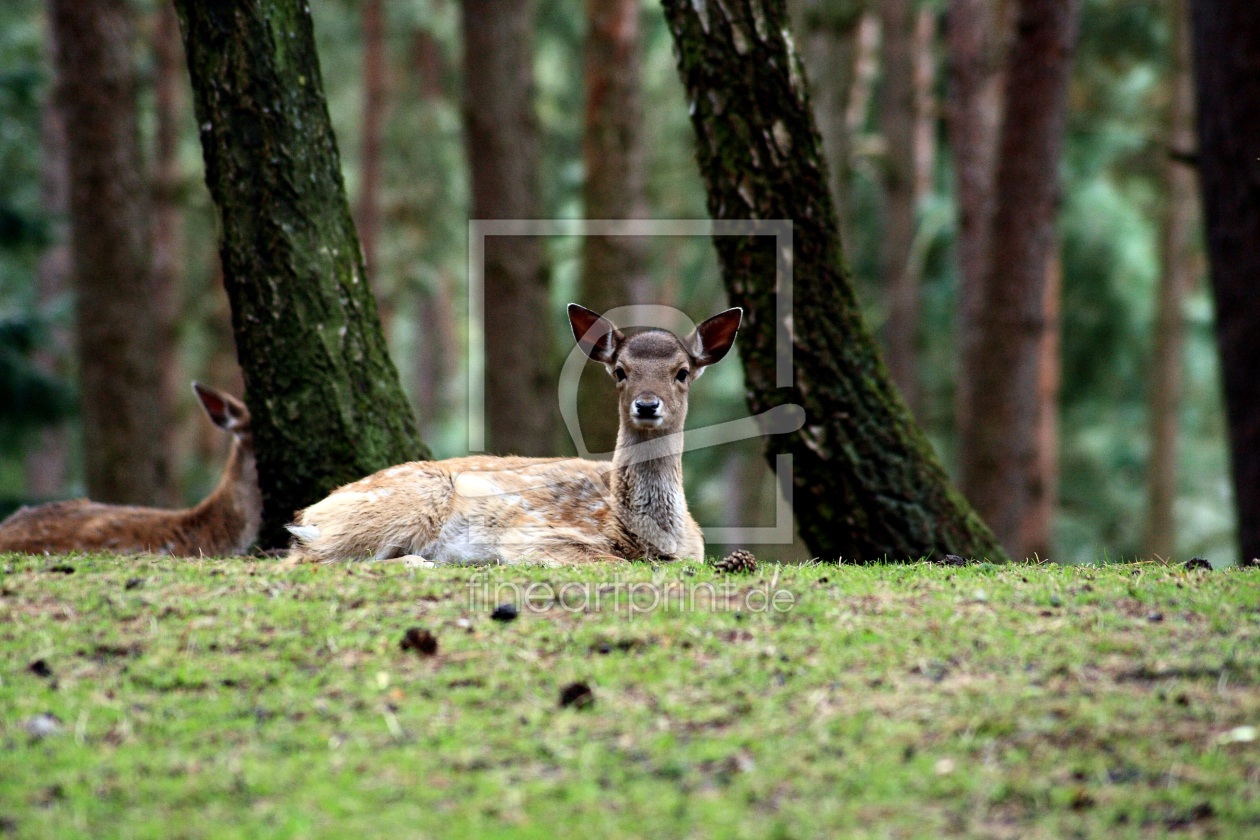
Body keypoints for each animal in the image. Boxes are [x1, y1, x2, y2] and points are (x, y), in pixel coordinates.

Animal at [286, 302, 735, 564]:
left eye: (682, 372)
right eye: (621, 371)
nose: (646, 404)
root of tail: (307, 514)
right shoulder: (535, 536)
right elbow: (608, 562)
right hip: (410, 502)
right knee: (311, 559)